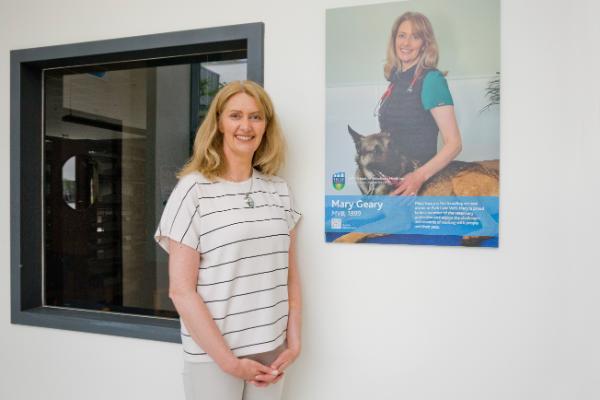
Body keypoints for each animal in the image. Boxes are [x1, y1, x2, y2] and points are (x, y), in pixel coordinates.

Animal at [336, 126, 500, 244]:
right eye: (375, 151)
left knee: (493, 225)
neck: (374, 183)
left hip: (460, 183)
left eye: (393, 149)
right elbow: (355, 215)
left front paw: (344, 238)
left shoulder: (399, 219)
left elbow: (366, 225)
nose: (397, 168)